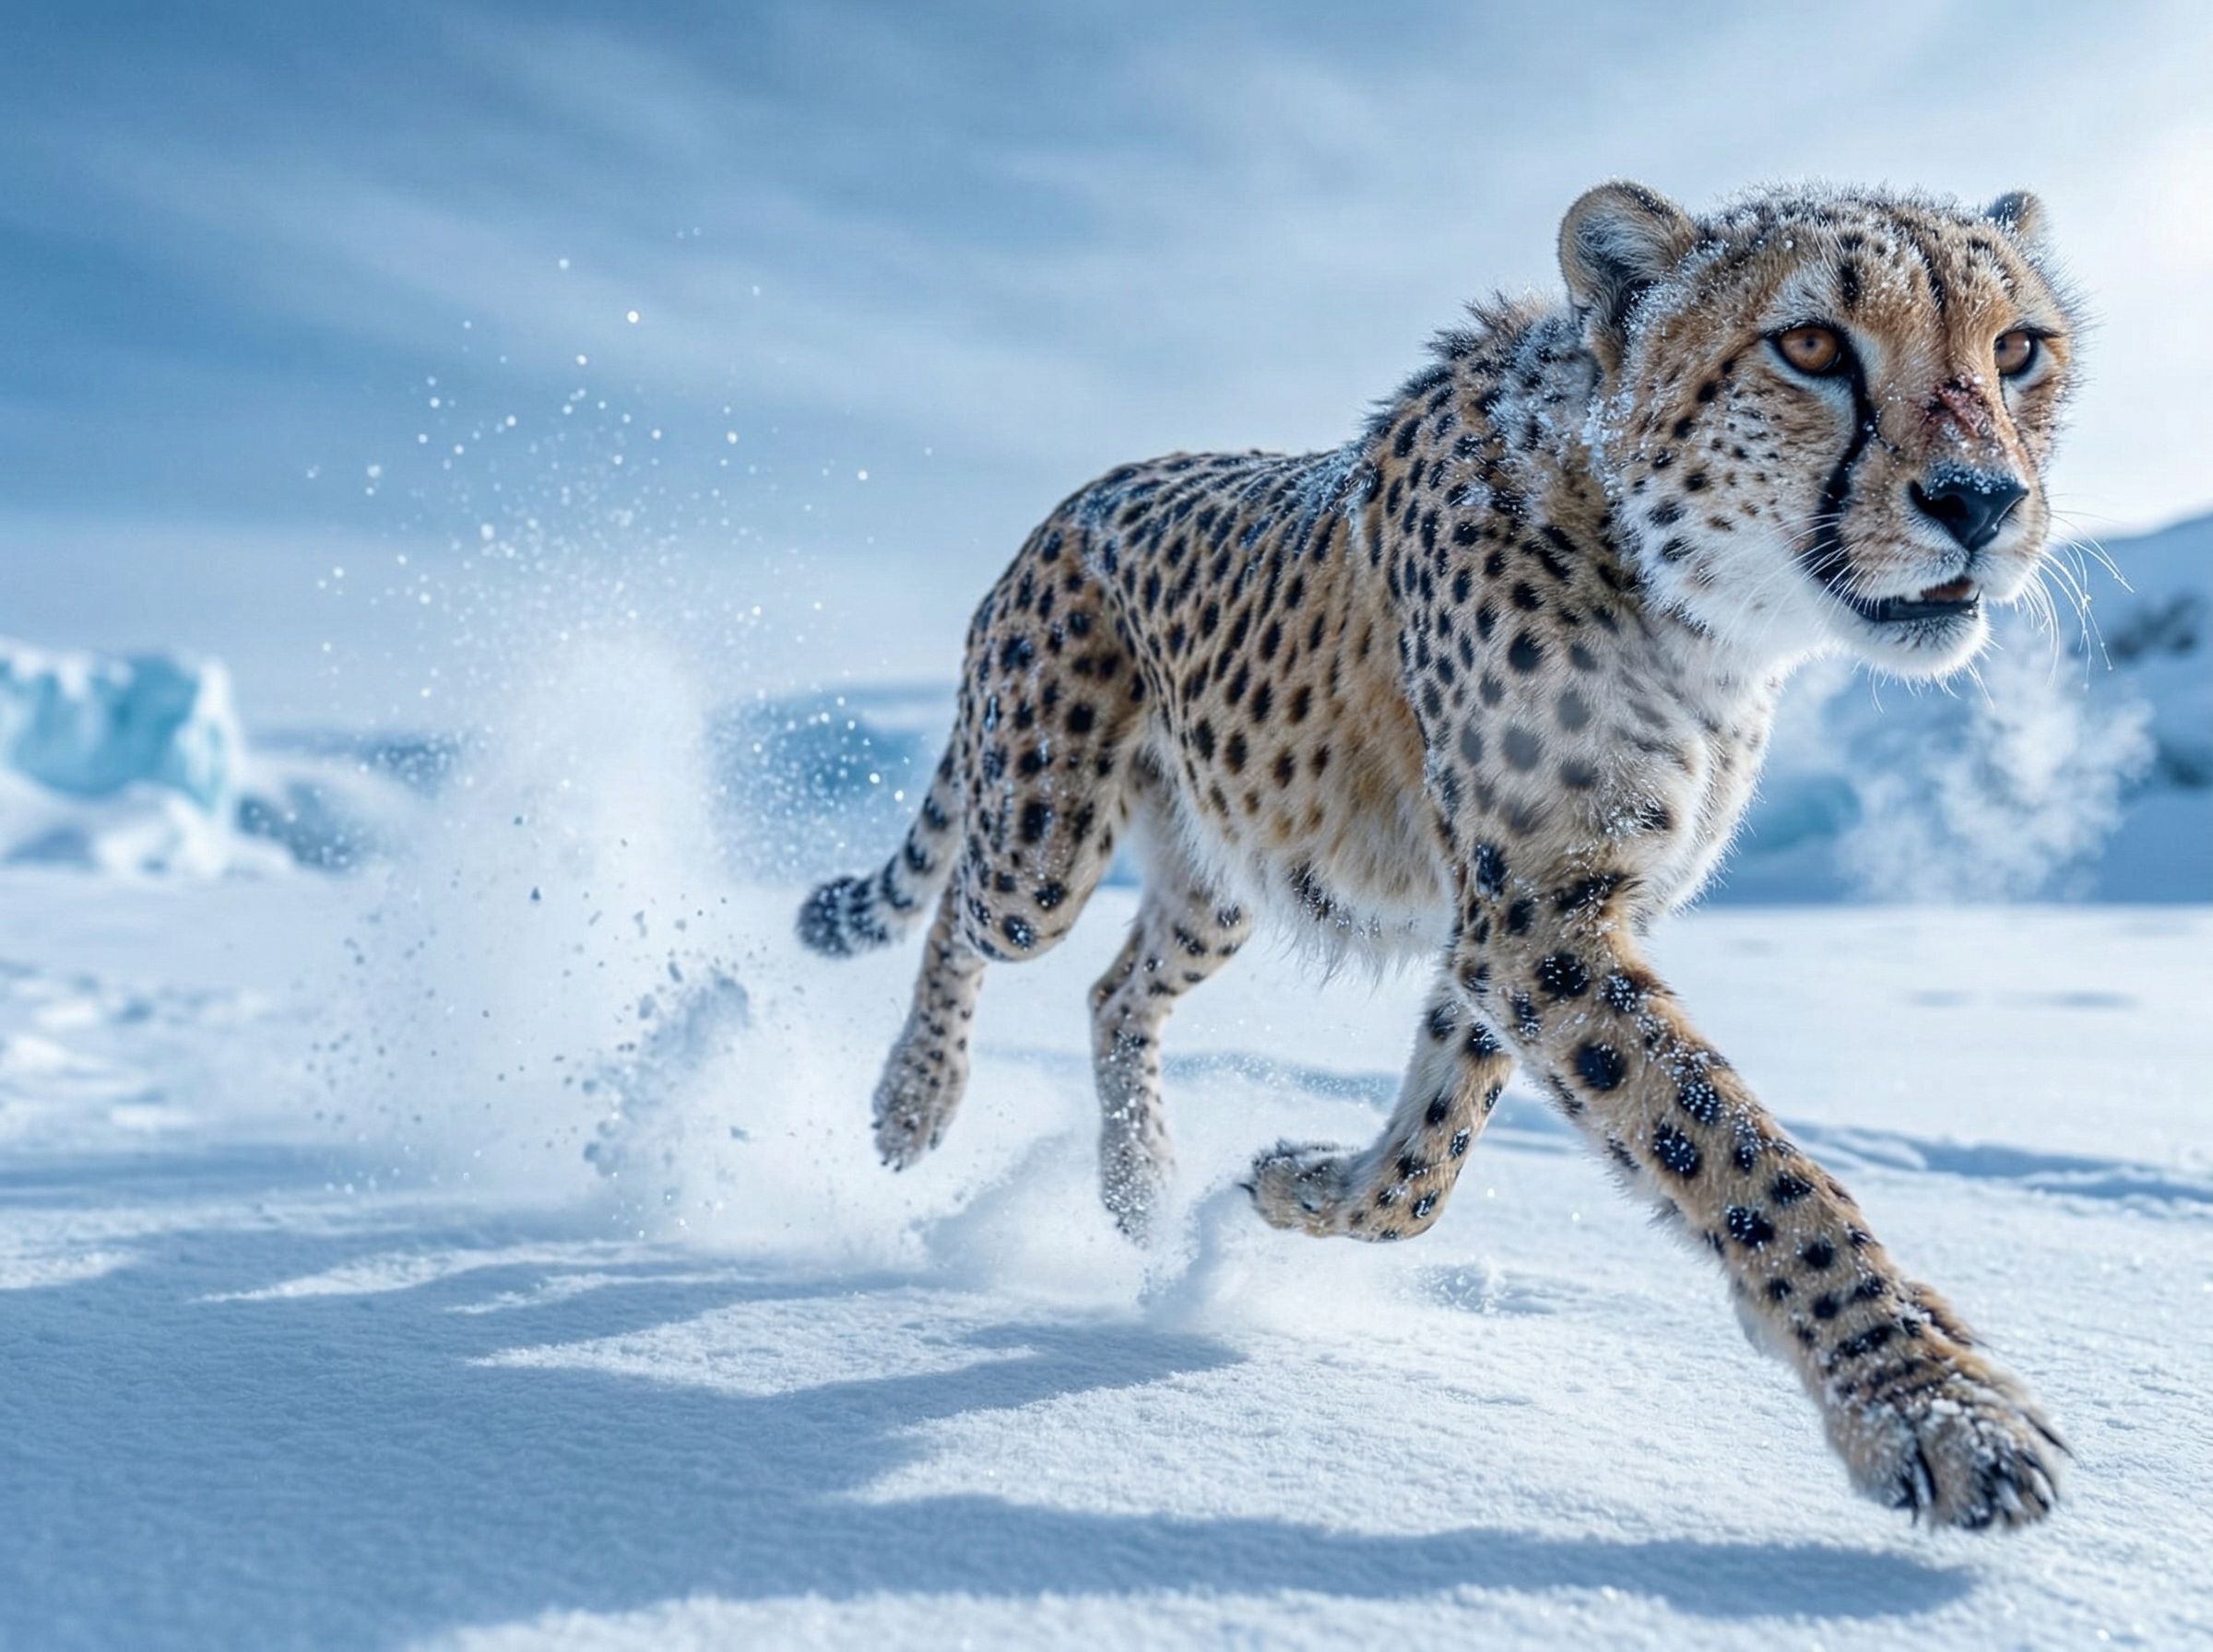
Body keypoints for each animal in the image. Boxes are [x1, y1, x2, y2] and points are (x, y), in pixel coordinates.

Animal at [797, 180, 2079, 1531]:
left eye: (2017, 349)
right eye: (1815, 346)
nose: (1981, 501)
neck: (1687, 598)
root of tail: (1074, 499)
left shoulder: (1524, 919)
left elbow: (1427, 1163)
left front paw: (1298, 1185)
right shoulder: (1536, 916)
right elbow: (1737, 1157)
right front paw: (1929, 1404)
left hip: (1225, 867)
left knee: (1114, 991)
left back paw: (1140, 1183)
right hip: (1042, 842)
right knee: (967, 912)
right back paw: (914, 1099)